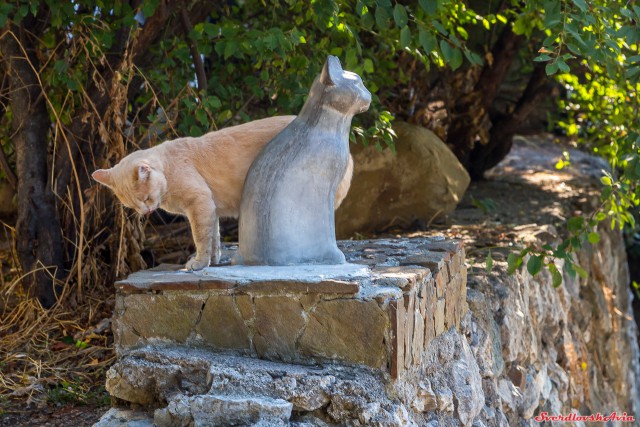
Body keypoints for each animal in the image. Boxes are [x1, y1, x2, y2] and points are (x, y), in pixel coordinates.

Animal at [92, 117, 356, 270]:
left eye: (145, 199)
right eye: (134, 206)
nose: (146, 212)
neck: (168, 167)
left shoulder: (199, 203)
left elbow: (200, 237)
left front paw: (198, 263)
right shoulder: (212, 209)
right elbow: (214, 237)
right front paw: (213, 260)